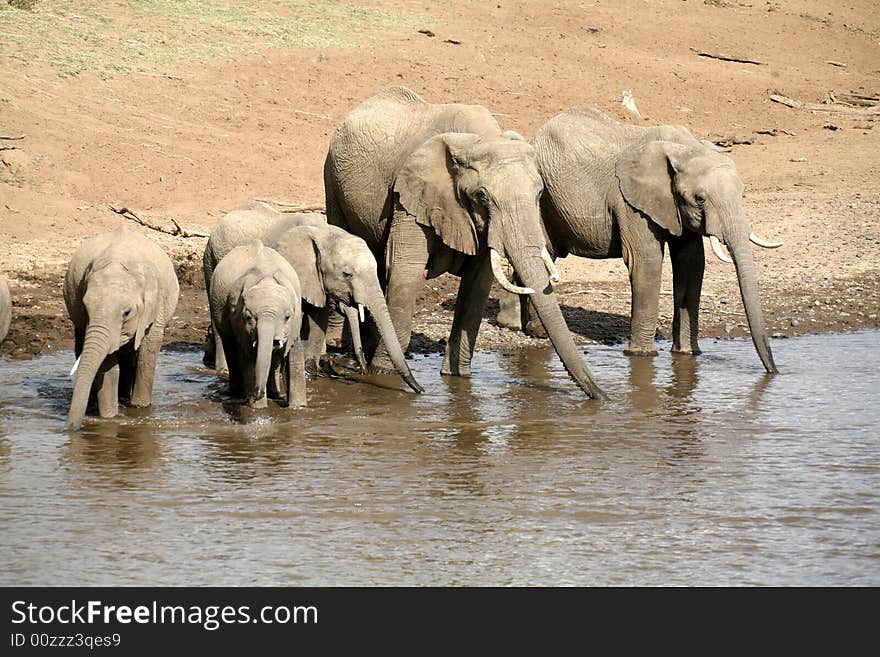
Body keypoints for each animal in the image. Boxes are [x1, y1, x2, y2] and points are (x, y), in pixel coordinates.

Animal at [64, 226, 180, 430]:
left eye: (127, 312)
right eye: (85, 308)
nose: (69, 429)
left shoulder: (156, 305)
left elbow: (148, 350)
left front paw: (140, 409)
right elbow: (107, 360)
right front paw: (109, 418)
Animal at [211, 238, 308, 408]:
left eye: (287, 317)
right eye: (249, 318)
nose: (258, 392)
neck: (266, 279)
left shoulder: (296, 320)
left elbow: (294, 352)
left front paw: (298, 407)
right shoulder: (238, 319)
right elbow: (249, 357)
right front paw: (258, 409)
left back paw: (273, 393)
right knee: (230, 348)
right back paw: (237, 395)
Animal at [270, 223, 424, 392]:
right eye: (346, 274)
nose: (421, 390)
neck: (321, 233)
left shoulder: (318, 285)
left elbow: (318, 324)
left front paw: (309, 376)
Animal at [324, 84, 604, 398]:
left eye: (540, 194)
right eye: (482, 197)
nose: (601, 397)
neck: (478, 140)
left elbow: (478, 283)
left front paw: (457, 378)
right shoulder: (409, 196)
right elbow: (406, 272)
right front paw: (384, 375)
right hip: (332, 179)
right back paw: (337, 345)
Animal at [498, 110, 780, 372]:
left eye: (743, 193)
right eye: (700, 198)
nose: (773, 371)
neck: (683, 148)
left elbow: (691, 264)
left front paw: (687, 354)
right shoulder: (630, 202)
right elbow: (646, 261)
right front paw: (642, 355)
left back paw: (515, 324)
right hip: (540, 199)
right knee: (546, 250)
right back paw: (533, 330)